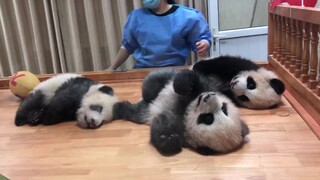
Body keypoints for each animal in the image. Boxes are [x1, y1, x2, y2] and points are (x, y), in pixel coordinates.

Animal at [115, 69, 250, 156]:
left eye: (208, 118)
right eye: (224, 109)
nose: (207, 97)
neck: (186, 112)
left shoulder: (178, 128)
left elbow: (159, 129)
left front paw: (168, 141)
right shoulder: (205, 88)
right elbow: (192, 79)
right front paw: (183, 85)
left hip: (143, 113)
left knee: (133, 112)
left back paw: (119, 107)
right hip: (163, 79)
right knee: (154, 83)